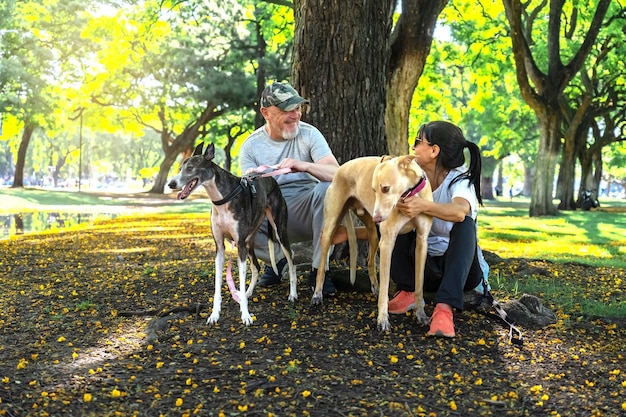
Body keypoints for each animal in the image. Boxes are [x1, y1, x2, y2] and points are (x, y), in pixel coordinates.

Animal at [310, 155, 432, 332]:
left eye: (386, 188)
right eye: (373, 190)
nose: (377, 218)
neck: (410, 196)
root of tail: (341, 168)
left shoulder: (422, 242)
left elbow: (419, 285)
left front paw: (421, 315)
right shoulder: (388, 242)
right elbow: (386, 288)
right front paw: (382, 319)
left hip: (373, 234)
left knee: (369, 261)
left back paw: (375, 286)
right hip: (331, 226)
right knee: (321, 265)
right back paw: (317, 294)